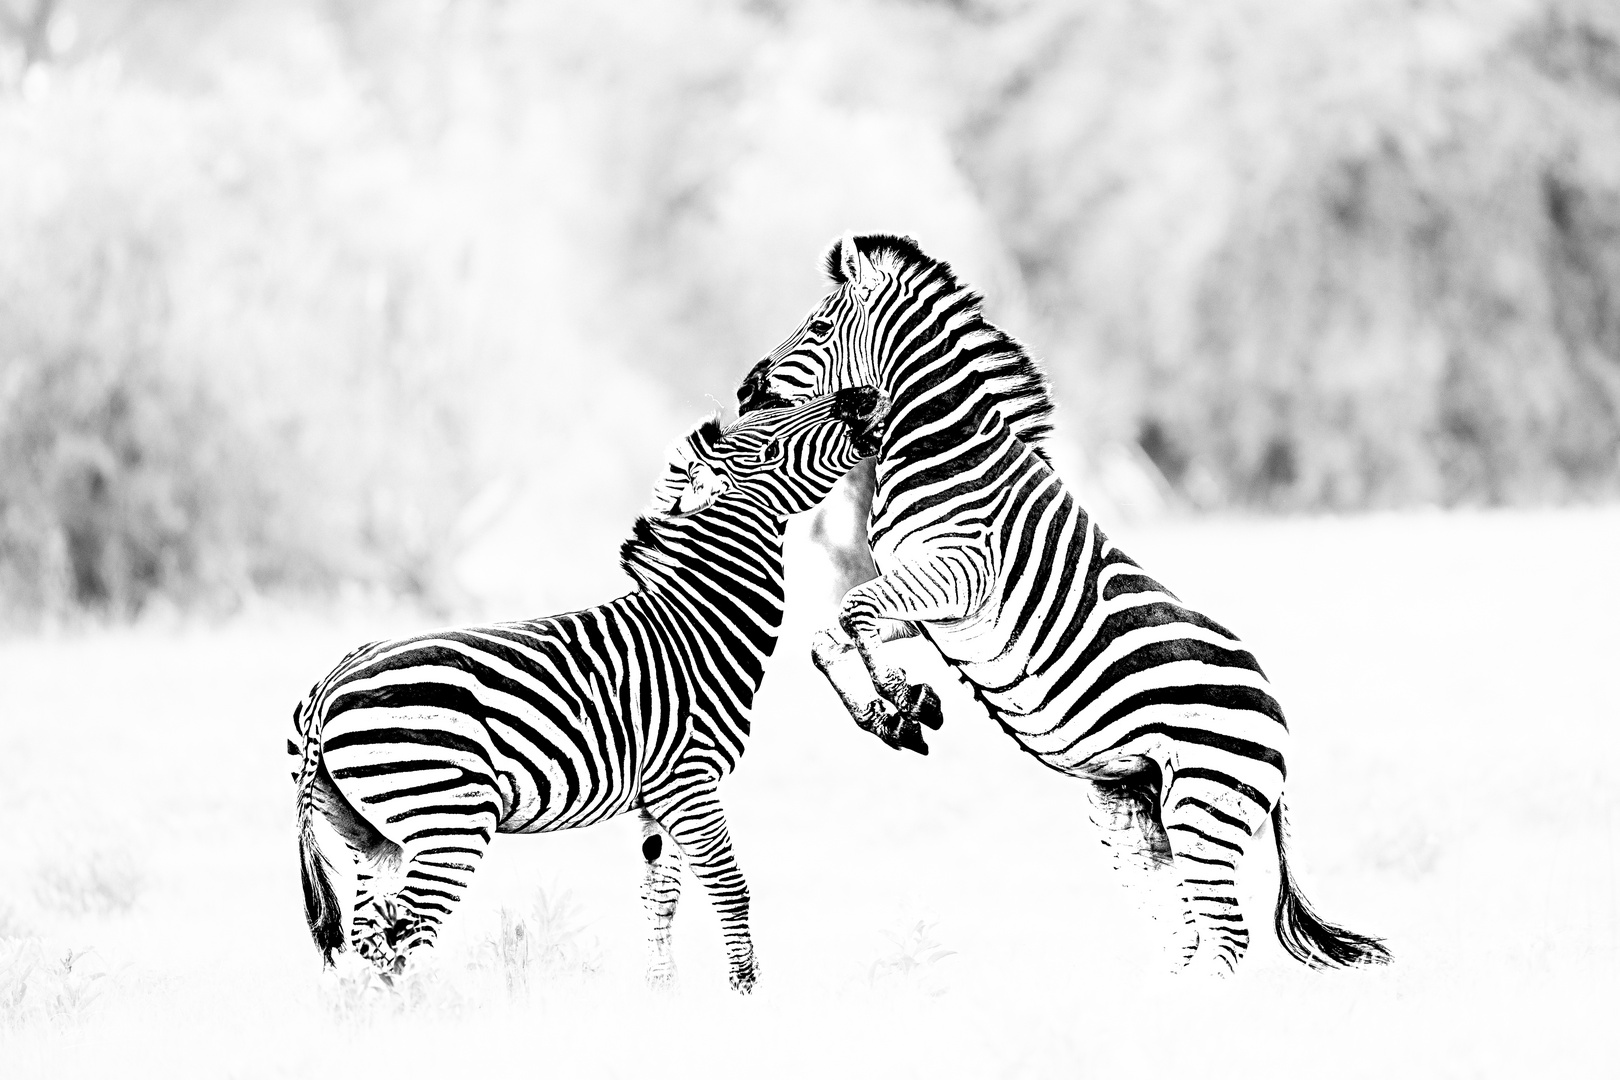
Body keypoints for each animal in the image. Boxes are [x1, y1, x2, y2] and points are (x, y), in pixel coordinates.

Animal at [285, 386, 881, 990]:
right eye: (771, 445)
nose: (863, 397)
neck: (697, 621)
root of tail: (328, 687)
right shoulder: (690, 780)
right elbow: (729, 889)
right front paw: (747, 994)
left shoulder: (656, 796)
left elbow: (660, 896)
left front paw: (663, 993)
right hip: (450, 816)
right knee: (407, 932)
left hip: (368, 834)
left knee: (371, 939)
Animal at [741, 236, 1386, 977]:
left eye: (819, 328)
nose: (745, 390)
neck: (940, 450)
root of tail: (1278, 717)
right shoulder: (927, 602)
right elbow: (830, 633)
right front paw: (889, 711)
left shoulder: (963, 572)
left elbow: (854, 611)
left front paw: (902, 700)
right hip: (1131, 811)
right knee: (1186, 942)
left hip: (1203, 804)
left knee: (1226, 940)